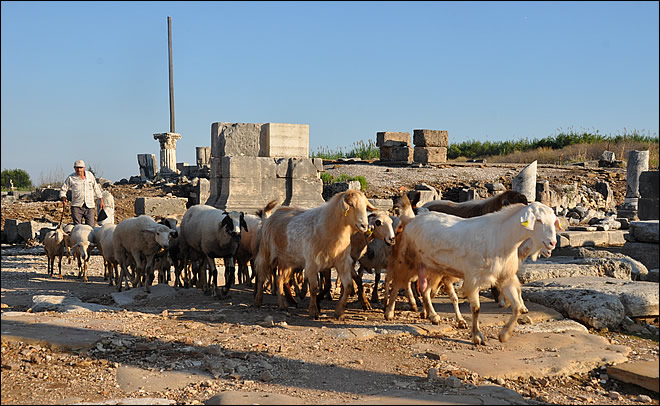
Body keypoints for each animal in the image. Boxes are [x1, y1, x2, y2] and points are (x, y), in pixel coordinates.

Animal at [384, 201, 560, 344]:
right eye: (538, 220)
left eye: (553, 222)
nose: (552, 243)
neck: (501, 237)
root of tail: (412, 220)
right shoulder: (473, 278)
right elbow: (476, 309)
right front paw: (477, 336)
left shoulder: (505, 277)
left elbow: (516, 307)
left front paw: (504, 335)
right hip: (406, 260)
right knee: (396, 284)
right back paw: (389, 312)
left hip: (434, 268)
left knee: (425, 291)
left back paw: (433, 316)